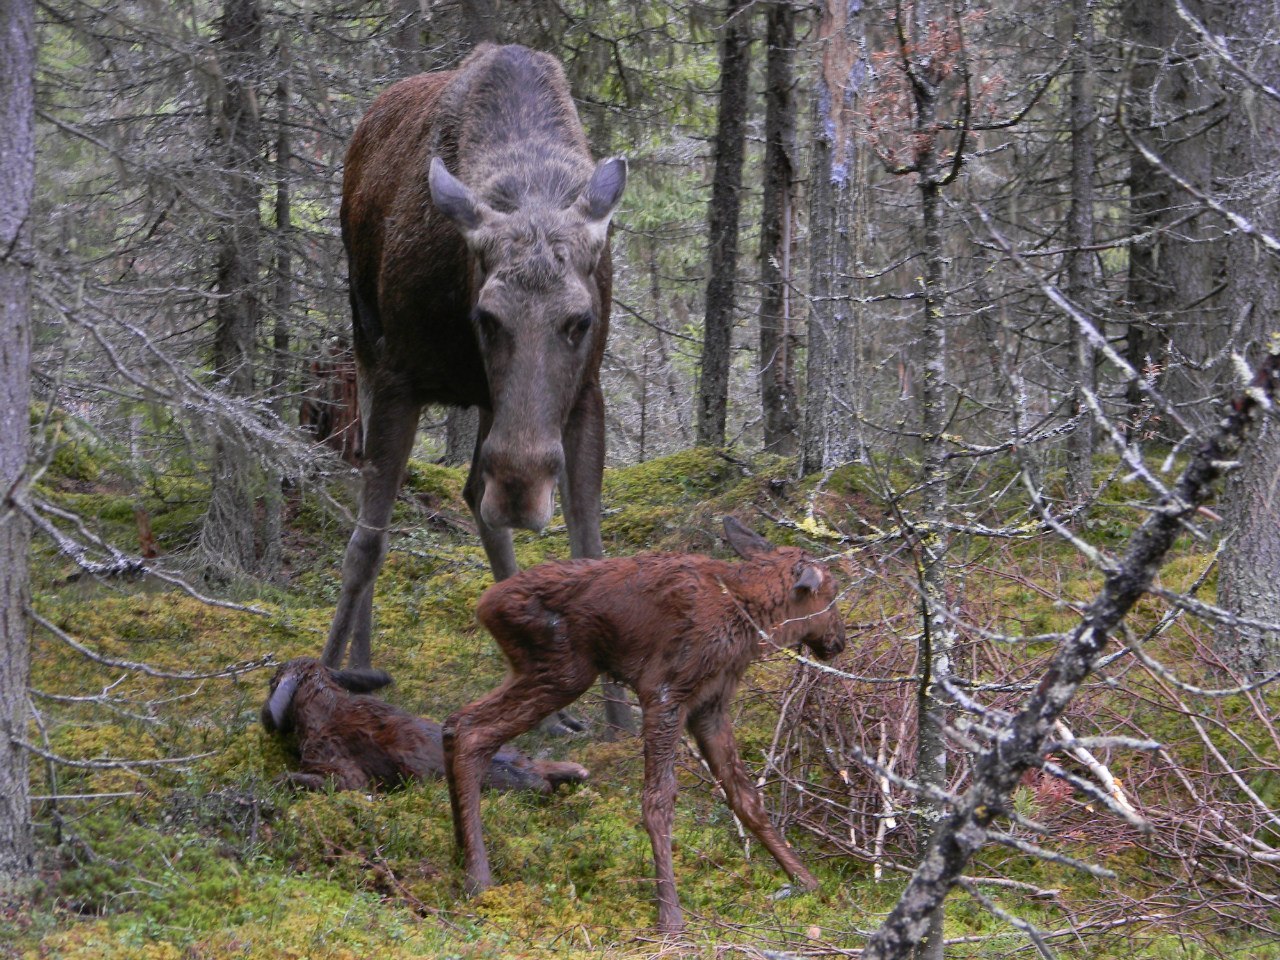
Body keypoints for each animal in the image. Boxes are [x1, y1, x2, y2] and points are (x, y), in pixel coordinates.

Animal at [320, 41, 629, 727]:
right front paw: (323, 676)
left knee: (470, 494)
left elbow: (590, 545)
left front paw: (623, 718)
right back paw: (359, 662)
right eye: (486, 317)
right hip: (364, 345)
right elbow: (364, 543)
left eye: (580, 320)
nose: (521, 488)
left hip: (489, 405)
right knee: (383, 516)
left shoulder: (585, 392)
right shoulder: (400, 376)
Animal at [442, 522, 849, 936]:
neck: (747, 621)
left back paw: (462, 850)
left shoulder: (710, 707)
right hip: (565, 669)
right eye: (831, 593)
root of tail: (485, 604)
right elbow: (658, 799)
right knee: (474, 732)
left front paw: (806, 880)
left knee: (458, 722)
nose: (840, 640)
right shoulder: (664, 694)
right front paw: (669, 913)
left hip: (538, 669)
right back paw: (478, 877)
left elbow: (746, 796)